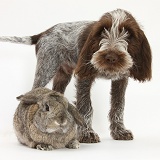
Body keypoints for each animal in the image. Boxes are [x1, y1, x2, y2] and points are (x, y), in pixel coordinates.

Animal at [0, 8, 152, 143]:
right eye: (102, 31)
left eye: (129, 33)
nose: (111, 57)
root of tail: (44, 32)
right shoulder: (84, 77)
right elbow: (85, 105)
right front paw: (87, 133)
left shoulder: (121, 79)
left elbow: (118, 106)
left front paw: (119, 131)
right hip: (46, 68)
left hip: (63, 75)